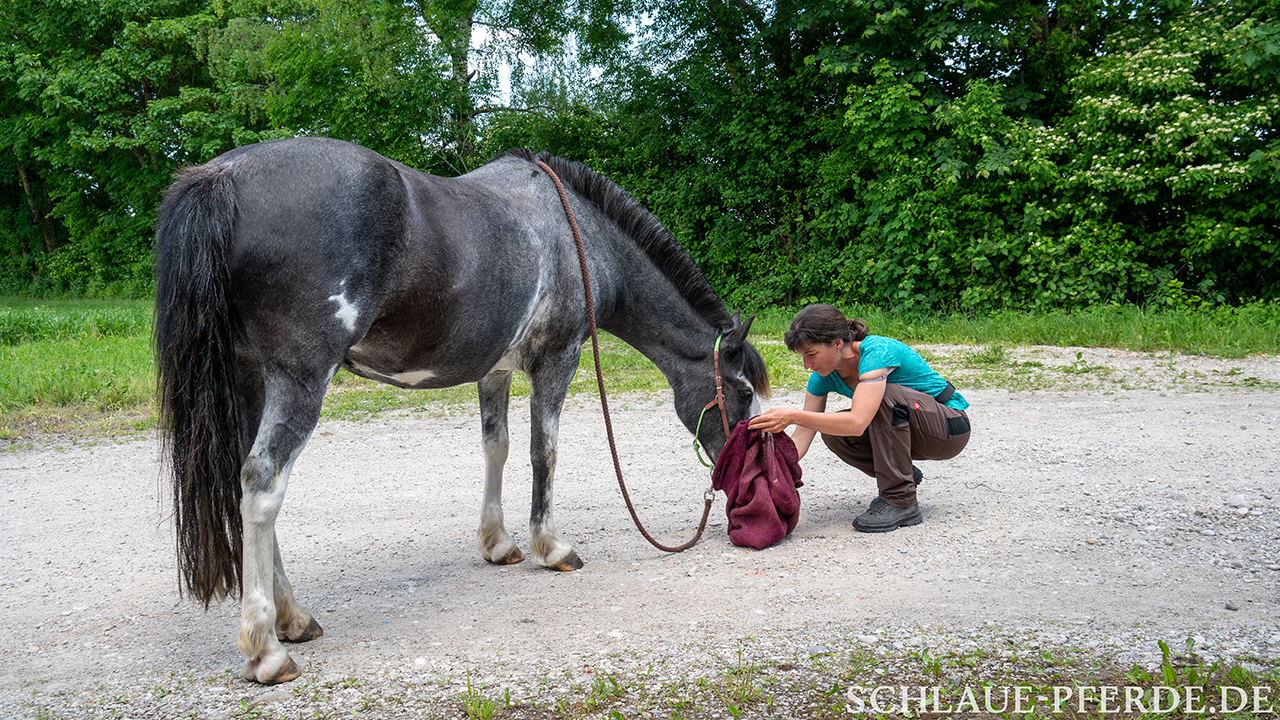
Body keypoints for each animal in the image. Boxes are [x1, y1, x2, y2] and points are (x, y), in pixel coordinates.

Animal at [149, 137, 768, 681]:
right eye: (742, 394)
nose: (737, 475)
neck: (576, 234)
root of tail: (223, 178)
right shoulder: (556, 360)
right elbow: (545, 451)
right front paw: (552, 547)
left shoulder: (495, 370)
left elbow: (497, 448)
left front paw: (499, 544)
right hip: (299, 379)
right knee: (263, 483)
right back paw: (267, 650)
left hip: (251, 379)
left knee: (252, 483)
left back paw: (293, 619)